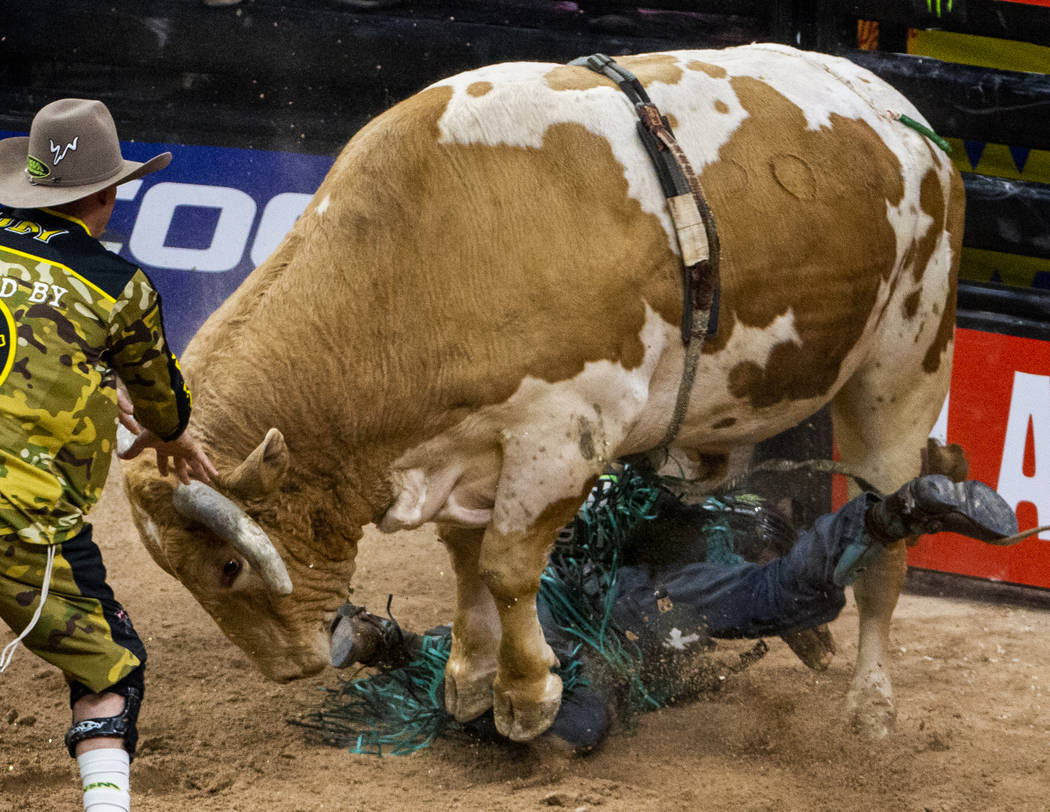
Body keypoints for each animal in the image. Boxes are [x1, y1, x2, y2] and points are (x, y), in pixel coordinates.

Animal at [120, 45, 961, 739]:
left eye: (229, 568)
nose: (291, 666)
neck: (418, 255)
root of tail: (913, 126)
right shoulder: (461, 448)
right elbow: (466, 561)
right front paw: (467, 678)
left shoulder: (564, 434)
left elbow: (506, 566)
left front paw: (526, 696)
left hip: (905, 367)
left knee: (885, 548)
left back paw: (871, 703)